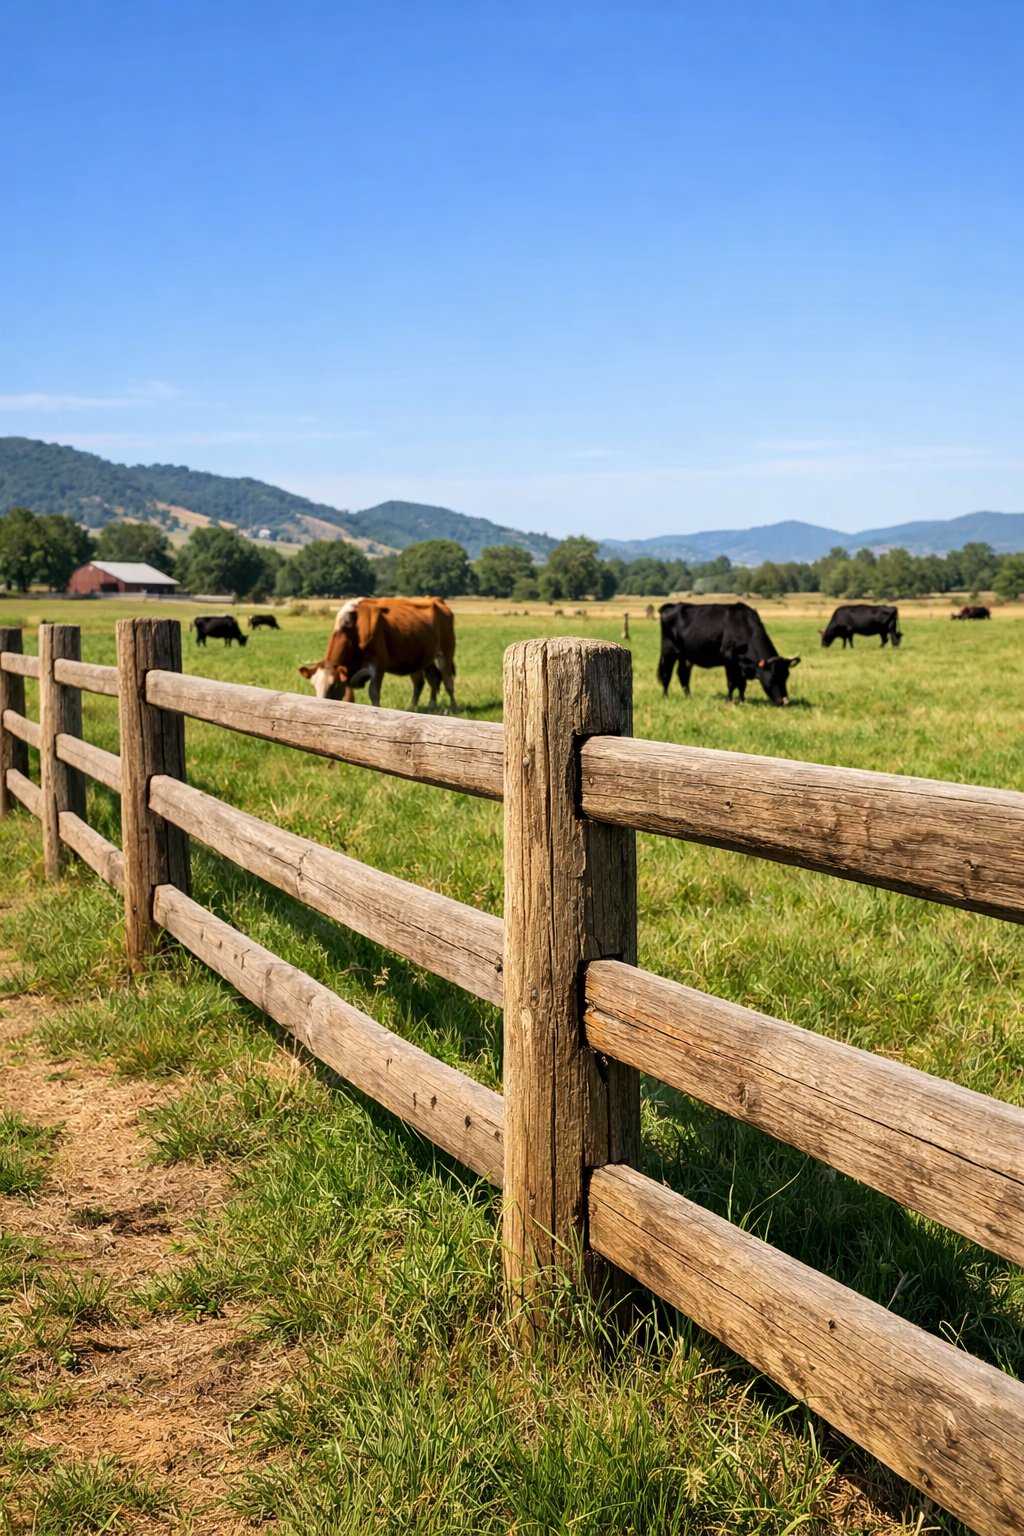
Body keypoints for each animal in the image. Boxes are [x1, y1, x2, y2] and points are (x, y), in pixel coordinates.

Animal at [298, 596, 457, 710]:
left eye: (333, 685)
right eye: (313, 685)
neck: (355, 629)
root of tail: (436, 599)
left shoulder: (379, 663)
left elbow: (374, 694)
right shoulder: (349, 672)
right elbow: (349, 698)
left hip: (446, 651)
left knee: (447, 680)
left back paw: (453, 708)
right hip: (424, 657)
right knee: (429, 679)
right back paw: (422, 706)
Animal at [657, 601, 800, 706]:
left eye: (786, 677)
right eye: (772, 678)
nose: (785, 701)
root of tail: (672, 606)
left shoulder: (741, 665)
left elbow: (742, 684)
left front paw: (742, 700)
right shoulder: (728, 658)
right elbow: (732, 683)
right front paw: (729, 700)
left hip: (685, 655)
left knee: (683, 674)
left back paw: (688, 697)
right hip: (668, 652)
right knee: (666, 675)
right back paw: (665, 697)